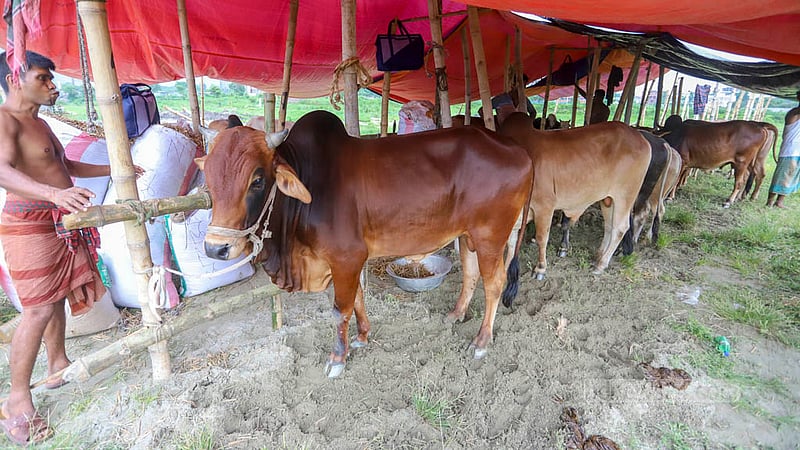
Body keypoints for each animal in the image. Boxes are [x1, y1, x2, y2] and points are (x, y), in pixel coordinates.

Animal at [197, 110, 533, 378]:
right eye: (209, 177)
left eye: (257, 180)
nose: (216, 248)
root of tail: (520, 151)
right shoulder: (349, 260)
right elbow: (358, 298)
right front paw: (361, 337)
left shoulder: (346, 257)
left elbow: (340, 309)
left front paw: (337, 358)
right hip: (467, 236)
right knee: (471, 274)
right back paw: (455, 315)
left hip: (490, 236)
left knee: (495, 283)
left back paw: (481, 341)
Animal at [498, 112, 651, 285]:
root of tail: (640, 137)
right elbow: (511, 242)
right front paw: (505, 270)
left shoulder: (545, 207)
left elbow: (541, 238)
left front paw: (540, 269)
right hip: (608, 199)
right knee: (609, 226)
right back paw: (598, 255)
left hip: (625, 195)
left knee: (620, 227)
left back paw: (601, 264)